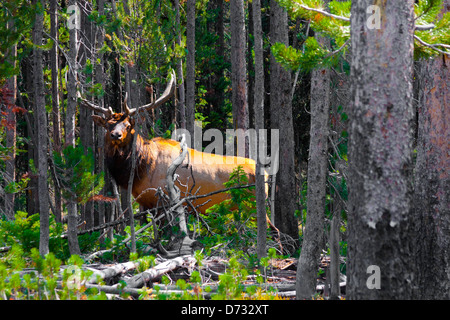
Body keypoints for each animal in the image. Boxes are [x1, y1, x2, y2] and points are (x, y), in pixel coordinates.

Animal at [81, 71, 278, 251]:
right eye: (108, 125)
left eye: (128, 126)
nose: (116, 135)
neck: (141, 167)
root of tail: (266, 173)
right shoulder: (148, 204)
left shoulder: (163, 201)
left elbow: (165, 234)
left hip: (252, 203)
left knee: (272, 230)